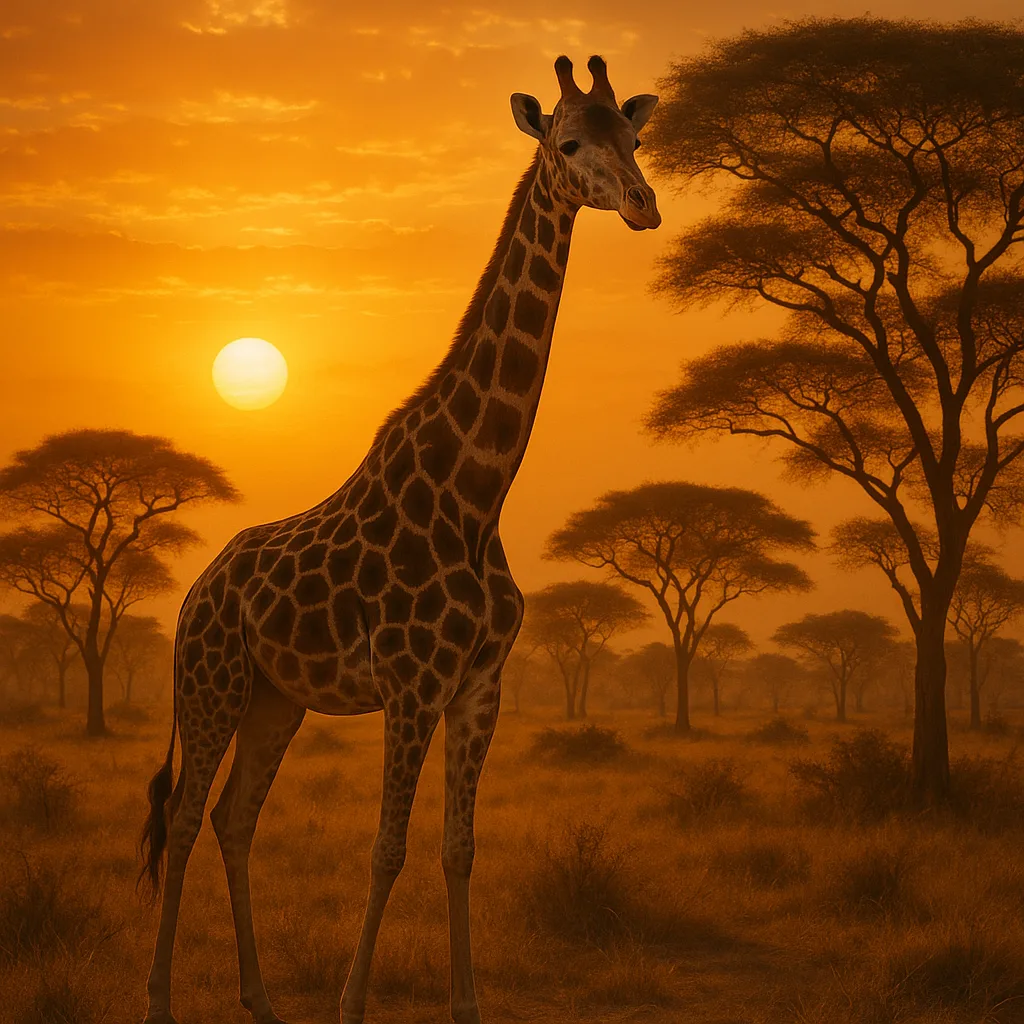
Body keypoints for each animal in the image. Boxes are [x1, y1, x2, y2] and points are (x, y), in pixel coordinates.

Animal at [139, 54, 660, 1024]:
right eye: (570, 143)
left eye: (637, 137)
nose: (646, 204)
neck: (478, 492)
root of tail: (196, 590)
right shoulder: (413, 687)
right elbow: (387, 849)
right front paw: (351, 1004)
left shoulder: (480, 687)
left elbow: (458, 849)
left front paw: (467, 1006)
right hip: (211, 683)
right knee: (185, 819)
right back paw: (157, 1000)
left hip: (276, 699)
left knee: (233, 817)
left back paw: (261, 999)